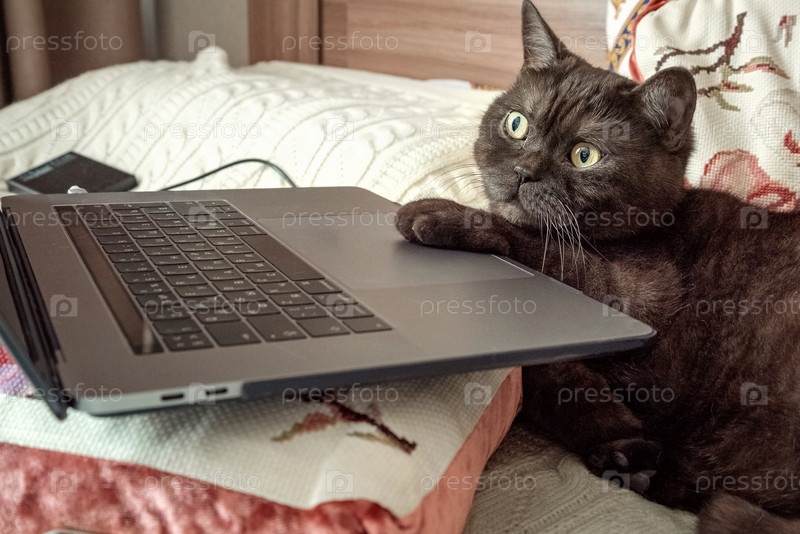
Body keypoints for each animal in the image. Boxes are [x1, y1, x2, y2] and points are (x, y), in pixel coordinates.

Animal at [396, 2, 800, 533]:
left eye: (584, 156)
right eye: (516, 124)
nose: (523, 171)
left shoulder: (640, 294)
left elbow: (545, 253)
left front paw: (439, 212)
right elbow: (546, 377)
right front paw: (623, 447)